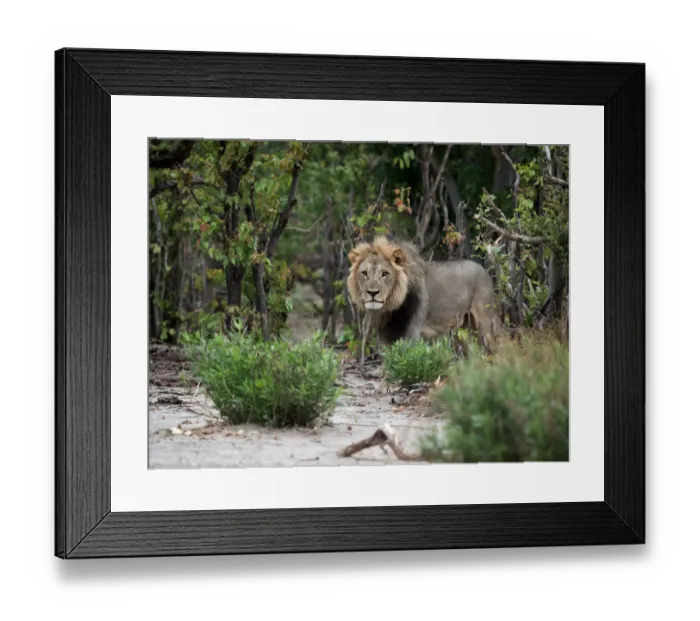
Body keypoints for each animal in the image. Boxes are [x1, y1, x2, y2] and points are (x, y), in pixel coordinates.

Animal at [347, 235, 497, 353]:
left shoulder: (412, 334)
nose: (372, 292)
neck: (390, 309)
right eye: (364, 273)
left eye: (385, 273)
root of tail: (483, 269)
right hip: (464, 329)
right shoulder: (386, 338)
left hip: (484, 323)